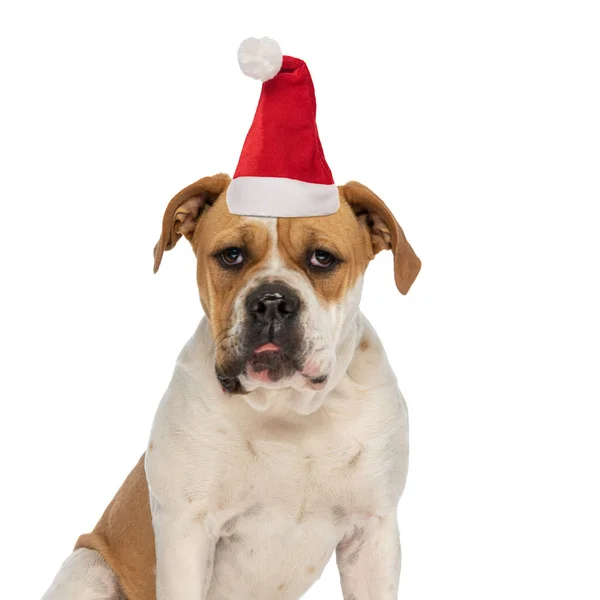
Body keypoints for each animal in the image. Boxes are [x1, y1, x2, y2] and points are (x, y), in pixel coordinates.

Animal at [42, 173, 420, 600]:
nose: (272, 301)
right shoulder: (188, 530)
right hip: (90, 570)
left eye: (322, 258)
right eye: (231, 255)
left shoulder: (373, 533)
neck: (287, 409)